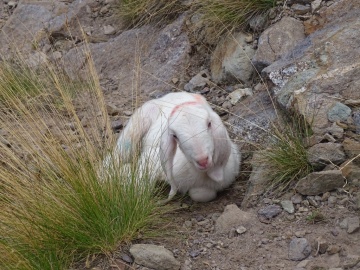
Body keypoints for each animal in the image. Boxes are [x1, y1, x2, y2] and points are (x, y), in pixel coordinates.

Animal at [108, 92, 240, 202]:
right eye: (175, 136)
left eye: (209, 124)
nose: (202, 160)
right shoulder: (150, 159)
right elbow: (140, 186)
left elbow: (201, 194)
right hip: (137, 124)